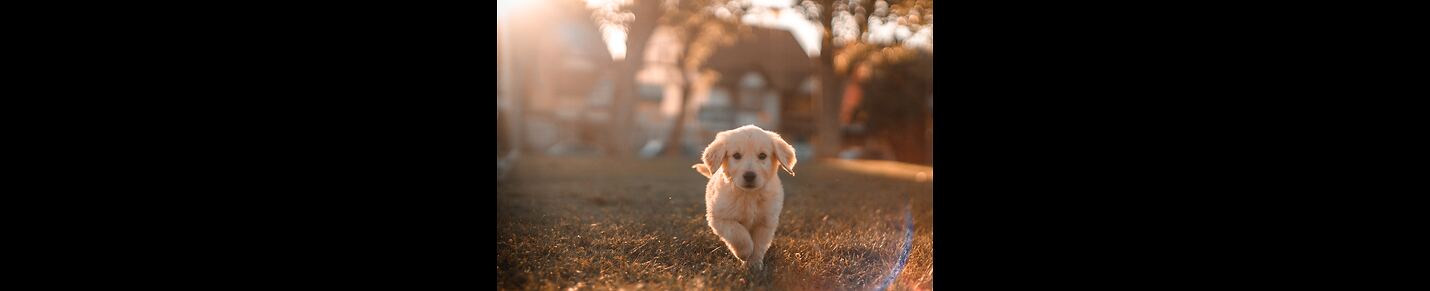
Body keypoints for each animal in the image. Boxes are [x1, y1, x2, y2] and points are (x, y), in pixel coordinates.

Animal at [689, 124, 795, 270]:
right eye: (736, 156)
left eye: (762, 156)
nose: (749, 176)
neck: (748, 195)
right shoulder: (719, 218)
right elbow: (737, 233)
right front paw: (744, 253)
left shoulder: (766, 222)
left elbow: (759, 245)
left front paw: (754, 265)